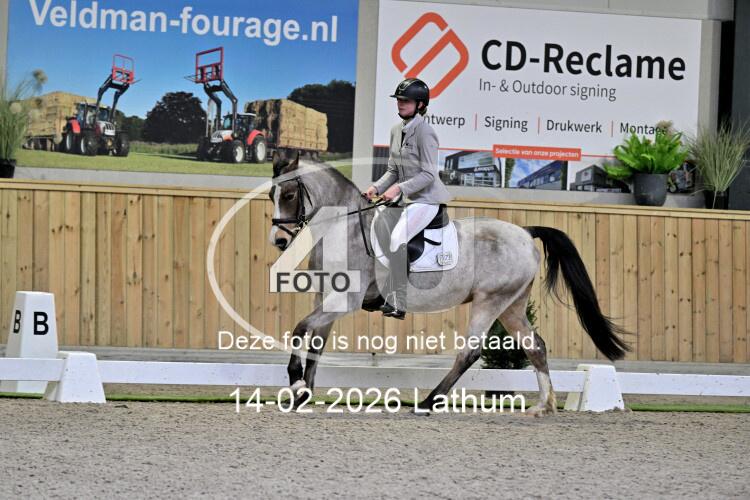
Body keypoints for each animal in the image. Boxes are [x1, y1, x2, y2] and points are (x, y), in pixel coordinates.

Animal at [268, 152, 629, 416]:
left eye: (289, 194)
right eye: (272, 194)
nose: (279, 241)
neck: (343, 229)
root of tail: (526, 233)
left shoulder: (345, 300)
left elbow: (300, 330)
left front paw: (296, 385)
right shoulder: (326, 298)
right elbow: (315, 343)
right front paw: (301, 395)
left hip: (489, 301)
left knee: (470, 352)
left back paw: (428, 403)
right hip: (511, 306)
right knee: (534, 345)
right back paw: (542, 405)